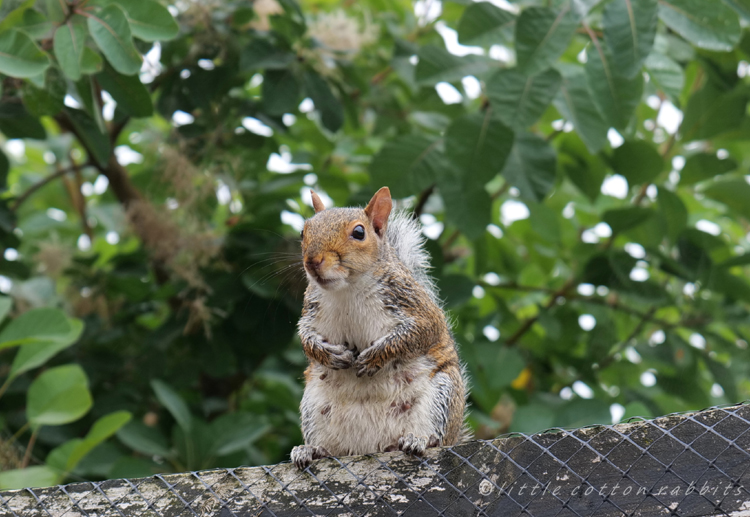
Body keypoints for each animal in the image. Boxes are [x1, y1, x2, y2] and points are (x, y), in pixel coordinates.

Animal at [290, 187, 470, 470]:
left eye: (359, 232)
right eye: (303, 232)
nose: (312, 261)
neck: (348, 289)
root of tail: (371, 447)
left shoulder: (415, 308)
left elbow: (416, 334)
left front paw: (375, 356)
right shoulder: (311, 311)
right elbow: (305, 338)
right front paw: (328, 353)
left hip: (441, 395)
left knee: (435, 437)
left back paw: (417, 440)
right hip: (313, 407)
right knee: (331, 449)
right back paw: (311, 450)